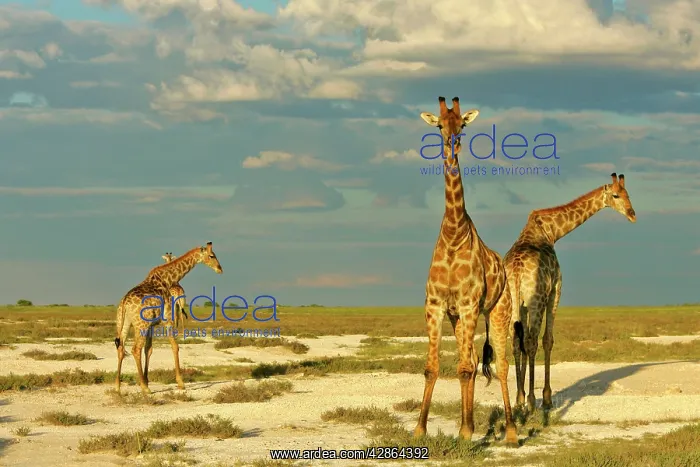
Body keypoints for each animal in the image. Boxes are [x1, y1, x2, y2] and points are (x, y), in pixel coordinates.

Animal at [115, 242, 223, 394]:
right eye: (212, 255)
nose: (220, 269)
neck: (168, 280)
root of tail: (124, 303)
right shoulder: (167, 319)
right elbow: (175, 347)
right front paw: (180, 383)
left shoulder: (152, 325)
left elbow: (149, 350)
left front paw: (147, 381)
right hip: (140, 324)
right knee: (135, 349)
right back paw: (144, 388)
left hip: (124, 322)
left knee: (121, 348)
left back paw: (117, 386)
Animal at [414, 96, 518, 445]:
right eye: (439, 125)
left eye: (462, 125)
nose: (452, 142)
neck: (453, 234)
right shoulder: (436, 306)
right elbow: (433, 367)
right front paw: (420, 429)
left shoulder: (471, 304)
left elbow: (465, 368)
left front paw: (466, 433)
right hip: (458, 318)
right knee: (471, 360)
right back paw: (467, 425)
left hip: (498, 312)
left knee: (501, 364)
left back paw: (510, 432)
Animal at [505, 173, 636, 411]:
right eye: (615, 195)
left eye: (627, 194)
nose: (632, 215)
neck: (551, 231)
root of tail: (517, 271)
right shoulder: (556, 290)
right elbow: (548, 340)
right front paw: (546, 397)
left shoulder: (524, 305)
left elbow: (523, 342)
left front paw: (522, 397)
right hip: (537, 300)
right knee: (531, 341)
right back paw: (532, 401)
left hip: (512, 303)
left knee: (517, 341)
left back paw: (519, 399)